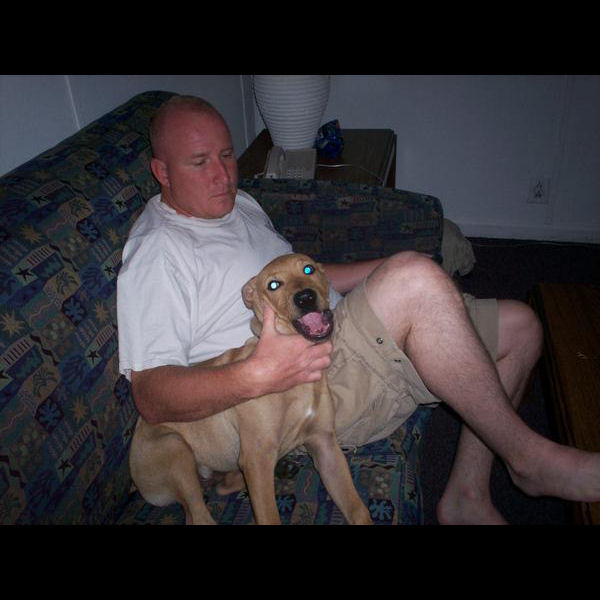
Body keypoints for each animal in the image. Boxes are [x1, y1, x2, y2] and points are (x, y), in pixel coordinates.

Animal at [129, 253, 372, 525]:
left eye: (308, 269)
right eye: (273, 285)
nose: (305, 297)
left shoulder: (325, 445)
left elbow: (357, 509)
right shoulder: (257, 456)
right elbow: (268, 515)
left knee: (224, 485)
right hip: (175, 450)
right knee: (199, 514)